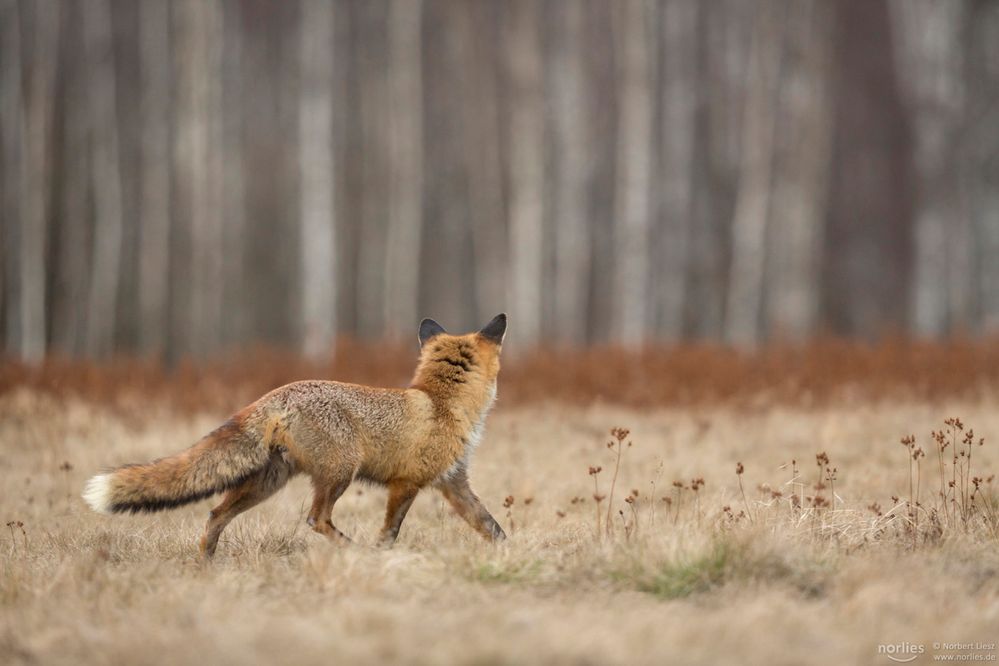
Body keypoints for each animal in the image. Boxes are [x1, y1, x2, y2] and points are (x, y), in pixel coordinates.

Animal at [82, 312, 512, 556]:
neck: (441, 402)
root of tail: (275, 394)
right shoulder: (407, 483)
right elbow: (390, 532)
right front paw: (382, 557)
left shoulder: (452, 483)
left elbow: (491, 526)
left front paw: (513, 554)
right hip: (340, 471)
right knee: (315, 519)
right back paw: (352, 551)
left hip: (267, 483)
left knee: (215, 514)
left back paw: (206, 563)